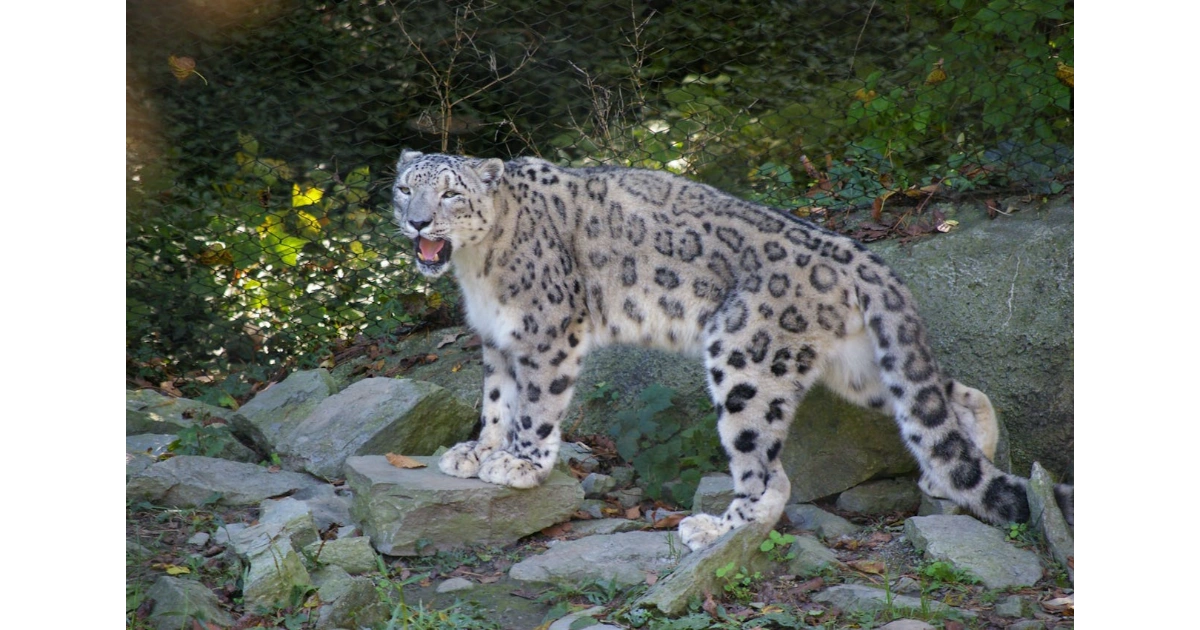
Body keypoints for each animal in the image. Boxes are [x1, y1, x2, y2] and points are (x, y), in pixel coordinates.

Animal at [391, 150, 1071, 551]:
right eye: (404, 188)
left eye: (450, 194)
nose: (418, 222)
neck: (475, 269)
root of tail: (859, 255)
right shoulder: (497, 340)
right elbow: (497, 400)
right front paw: (477, 451)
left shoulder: (547, 330)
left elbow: (535, 405)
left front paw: (522, 464)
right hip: (858, 366)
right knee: (940, 395)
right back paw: (955, 464)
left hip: (746, 358)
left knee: (762, 468)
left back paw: (713, 526)